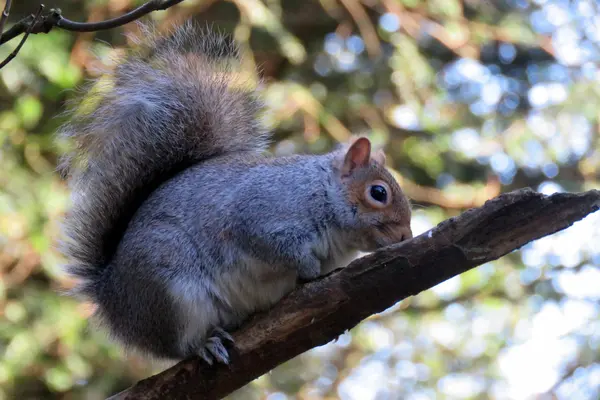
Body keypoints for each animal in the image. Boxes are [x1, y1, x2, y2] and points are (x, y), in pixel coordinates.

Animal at [57, 22, 412, 366]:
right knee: (180, 345)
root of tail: (112, 297)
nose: (406, 236)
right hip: (172, 290)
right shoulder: (264, 213)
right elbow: (273, 244)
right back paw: (204, 346)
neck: (322, 194)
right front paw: (308, 267)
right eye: (378, 192)